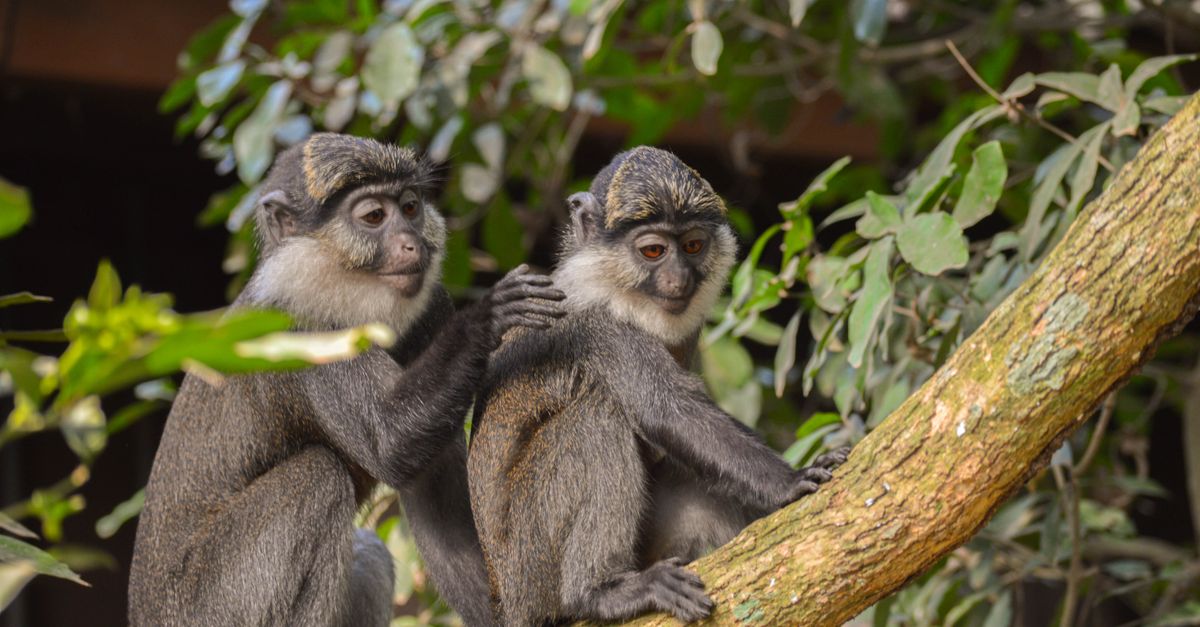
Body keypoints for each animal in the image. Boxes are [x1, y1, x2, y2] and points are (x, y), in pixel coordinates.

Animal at [129, 133, 563, 626]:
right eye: (374, 216)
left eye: (410, 207)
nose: (412, 243)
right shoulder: (306, 328)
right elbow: (389, 441)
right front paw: (489, 316)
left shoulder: (431, 308)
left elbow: (431, 480)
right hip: (214, 606)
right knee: (318, 478)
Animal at [467, 146, 850, 626]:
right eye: (653, 250)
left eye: (692, 246)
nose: (679, 278)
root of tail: (508, 600)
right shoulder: (597, 324)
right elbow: (667, 409)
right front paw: (792, 480)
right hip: (531, 559)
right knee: (596, 415)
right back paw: (600, 591)